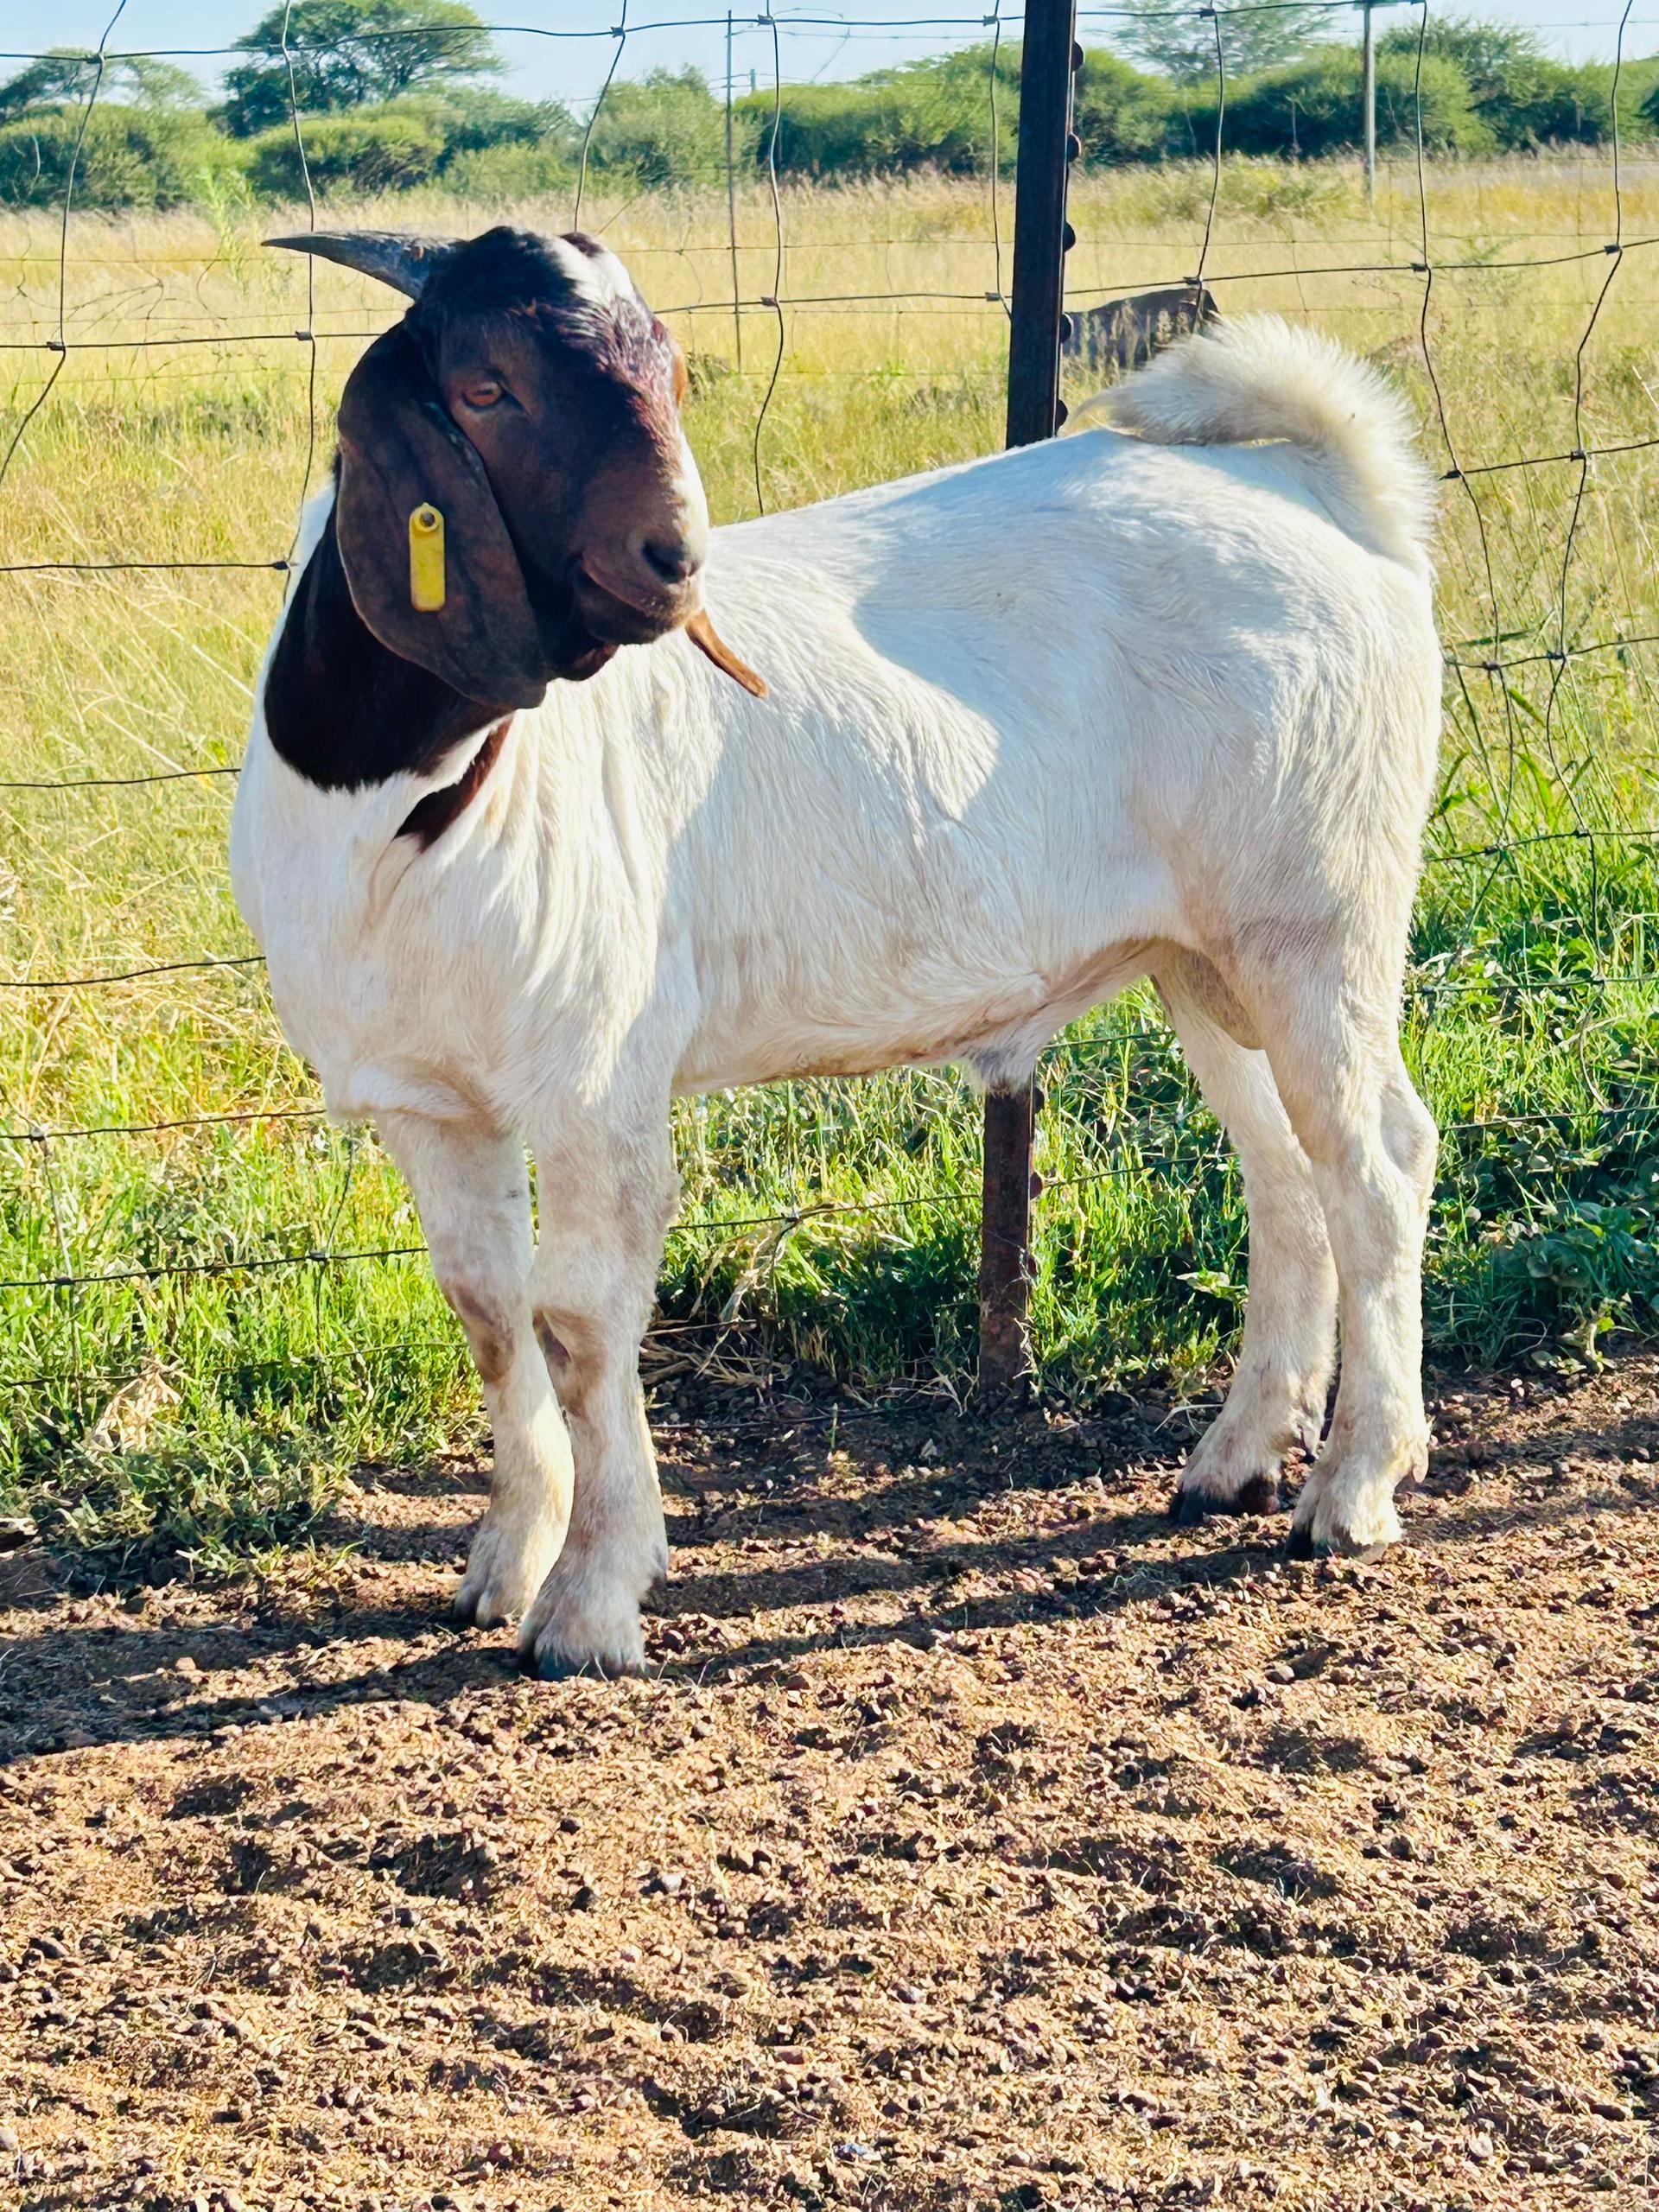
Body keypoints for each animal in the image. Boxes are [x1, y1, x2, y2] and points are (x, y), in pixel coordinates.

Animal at [231, 226, 1442, 1679]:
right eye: (482, 389)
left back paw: (1357, 1485)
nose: (679, 561)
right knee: (1286, 1177)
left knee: (1377, 1166)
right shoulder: (428, 1102)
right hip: (1204, 954)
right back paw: (1241, 1457)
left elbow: (579, 1328)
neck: (397, 789)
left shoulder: (594, 1081)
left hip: (1319, 918)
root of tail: (1317, 485)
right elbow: (487, 1315)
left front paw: (591, 1602)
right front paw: (504, 1561)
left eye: (668, 364)